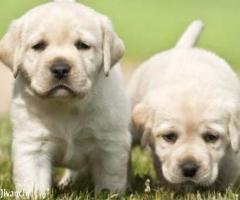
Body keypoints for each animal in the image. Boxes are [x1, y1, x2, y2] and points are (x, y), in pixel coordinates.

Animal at [0, 0, 131, 196]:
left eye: (82, 45)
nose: (60, 68)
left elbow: (109, 182)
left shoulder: (110, 144)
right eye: (39, 46)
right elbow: (33, 184)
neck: (65, 104)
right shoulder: (32, 146)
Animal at [128, 20, 240, 191]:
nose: (189, 168)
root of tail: (182, 48)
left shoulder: (232, 154)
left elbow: (228, 171)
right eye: (169, 137)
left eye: (211, 137)